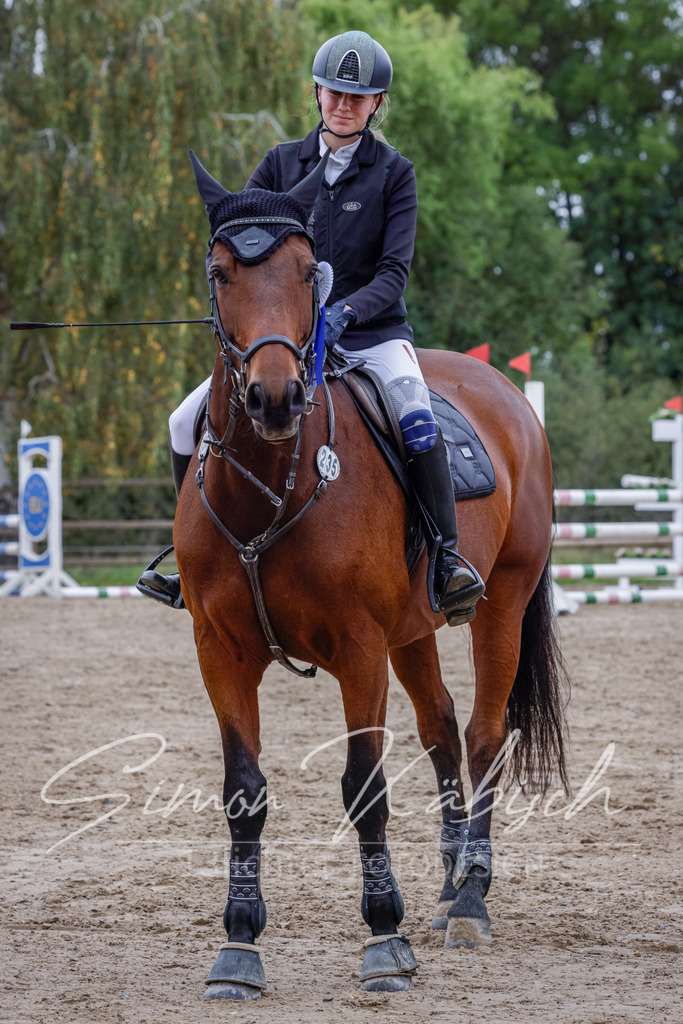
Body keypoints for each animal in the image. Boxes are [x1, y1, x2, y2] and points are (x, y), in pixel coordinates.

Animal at [173, 151, 569, 1000]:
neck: (273, 483)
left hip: (500, 603)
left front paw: (383, 938)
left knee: (484, 734)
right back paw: (449, 885)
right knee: (441, 728)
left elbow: (364, 787)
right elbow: (243, 791)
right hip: (410, 633)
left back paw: (470, 900)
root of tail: (507, 394)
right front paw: (238, 946)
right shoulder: (220, 650)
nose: (276, 398)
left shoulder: (357, 650)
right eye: (220, 273)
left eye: (305, 271)